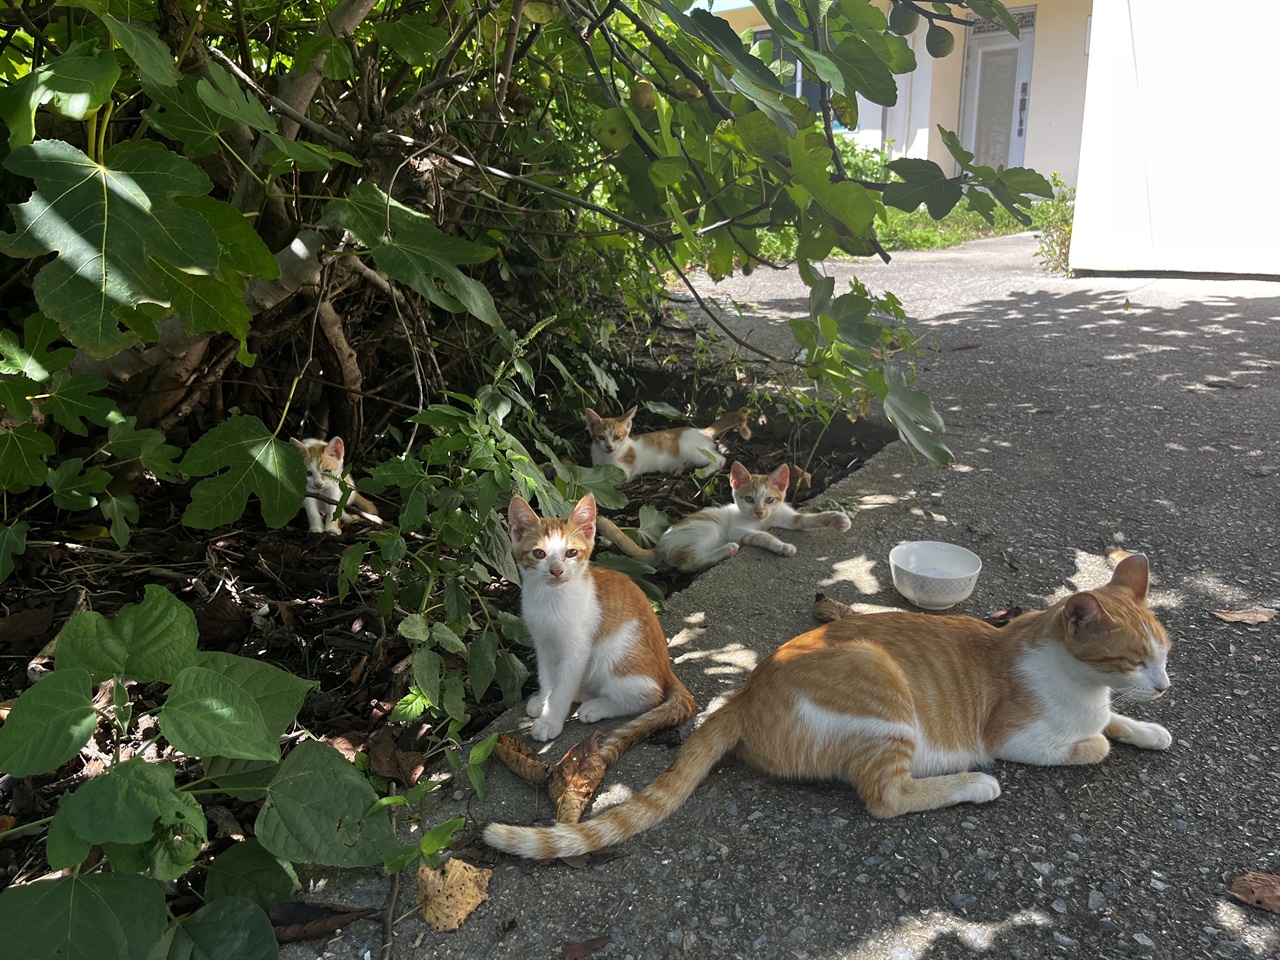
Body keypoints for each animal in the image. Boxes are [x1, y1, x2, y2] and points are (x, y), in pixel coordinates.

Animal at [483, 552, 1172, 860]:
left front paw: (1150, 728)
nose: (1165, 685)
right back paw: (973, 784)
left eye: (1165, 652)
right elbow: (1092, 742)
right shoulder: (1016, 736)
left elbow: (1114, 722)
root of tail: (747, 690)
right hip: (884, 693)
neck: (1080, 683)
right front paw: (1109, 734)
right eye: (1134, 658)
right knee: (887, 796)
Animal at [504, 496, 696, 757]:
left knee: (648, 696)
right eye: (539, 553)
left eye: (571, 553)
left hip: (614, 654)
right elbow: (547, 676)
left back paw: (596, 706)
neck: (551, 599)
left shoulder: (577, 650)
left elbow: (562, 688)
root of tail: (666, 670)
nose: (556, 570)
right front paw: (544, 699)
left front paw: (549, 720)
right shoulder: (543, 643)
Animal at [583, 404, 747, 481]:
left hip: (695, 452)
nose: (609, 447)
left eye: (617, 437)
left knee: (720, 459)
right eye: (601, 437)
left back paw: (704, 472)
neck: (605, 457)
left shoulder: (623, 472)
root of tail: (701, 430)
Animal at [593, 463, 855, 576]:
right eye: (749, 499)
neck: (761, 520)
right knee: (688, 564)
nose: (759, 512)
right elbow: (762, 536)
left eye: (769, 500)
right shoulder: (740, 530)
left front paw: (836, 519)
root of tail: (659, 546)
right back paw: (726, 550)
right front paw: (782, 546)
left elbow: (805, 519)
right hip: (710, 529)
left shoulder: (785, 516)